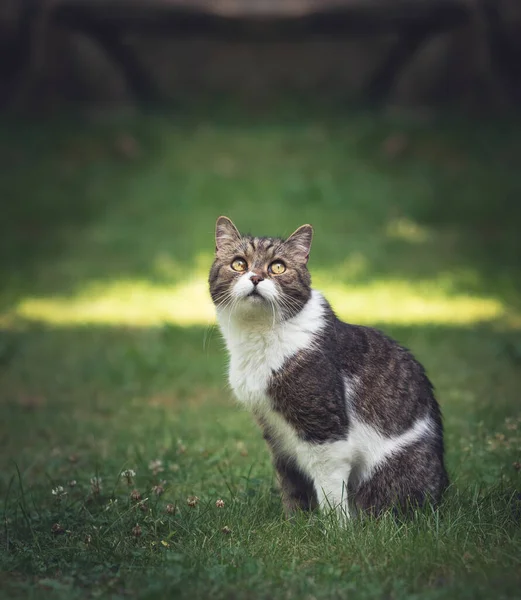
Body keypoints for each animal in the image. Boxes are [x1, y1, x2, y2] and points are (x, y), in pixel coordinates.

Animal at [207, 217, 446, 520]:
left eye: (278, 266)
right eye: (239, 263)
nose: (256, 277)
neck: (258, 334)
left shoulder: (324, 427)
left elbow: (329, 487)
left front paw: (335, 527)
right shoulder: (276, 436)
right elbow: (291, 485)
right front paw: (295, 523)